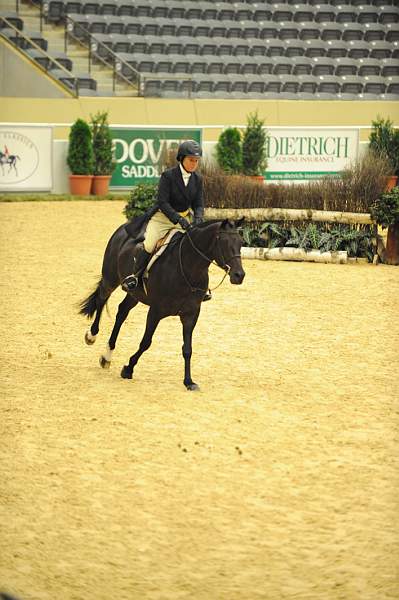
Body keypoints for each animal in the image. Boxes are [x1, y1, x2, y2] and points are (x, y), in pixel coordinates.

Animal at [79, 218, 245, 392]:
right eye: (224, 242)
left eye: (241, 242)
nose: (239, 275)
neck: (188, 268)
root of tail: (125, 227)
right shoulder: (156, 311)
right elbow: (146, 342)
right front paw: (128, 369)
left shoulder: (191, 314)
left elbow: (187, 349)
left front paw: (189, 381)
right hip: (110, 278)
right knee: (102, 299)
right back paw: (91, 336)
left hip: (135, 294)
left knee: (122, 312)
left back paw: (107, 357)